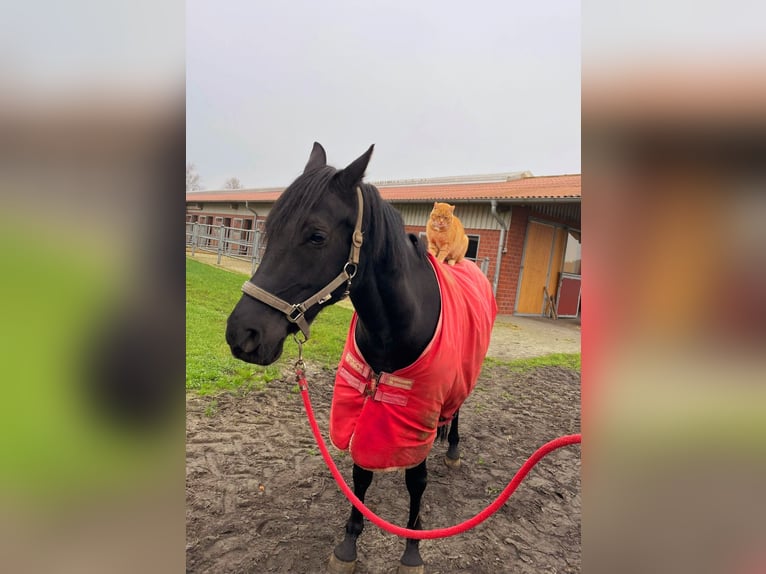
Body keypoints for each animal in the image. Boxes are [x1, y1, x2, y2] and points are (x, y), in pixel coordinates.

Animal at [226, 144, 498, 574]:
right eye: (269, 230)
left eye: (316, 236)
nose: (242, 335)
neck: (397, 325)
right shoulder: (363, 405)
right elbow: (360, 474)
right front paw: (349, 543)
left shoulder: (417, 412)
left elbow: (416, 481)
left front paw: (412, 550)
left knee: (457, 411)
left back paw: (452, 449)